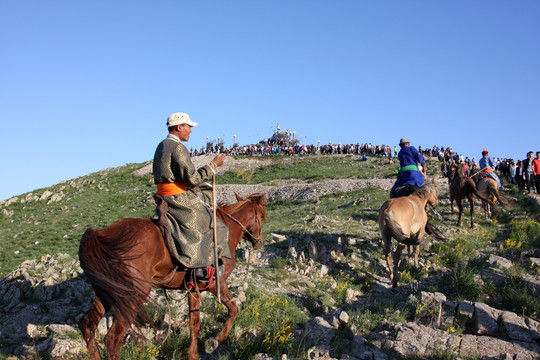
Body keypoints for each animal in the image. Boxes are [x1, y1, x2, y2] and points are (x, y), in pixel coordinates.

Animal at [77, 194, 266, 360]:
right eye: (262, 217)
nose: (260, 242)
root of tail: (100, 235)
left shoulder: (193, 289)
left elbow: (194, 323)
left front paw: (193, 354)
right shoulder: (216, 284)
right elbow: (233, 309)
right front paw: (214, 341)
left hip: (105, 294)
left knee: (87, 327)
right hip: (134, 295)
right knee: (112, 339)